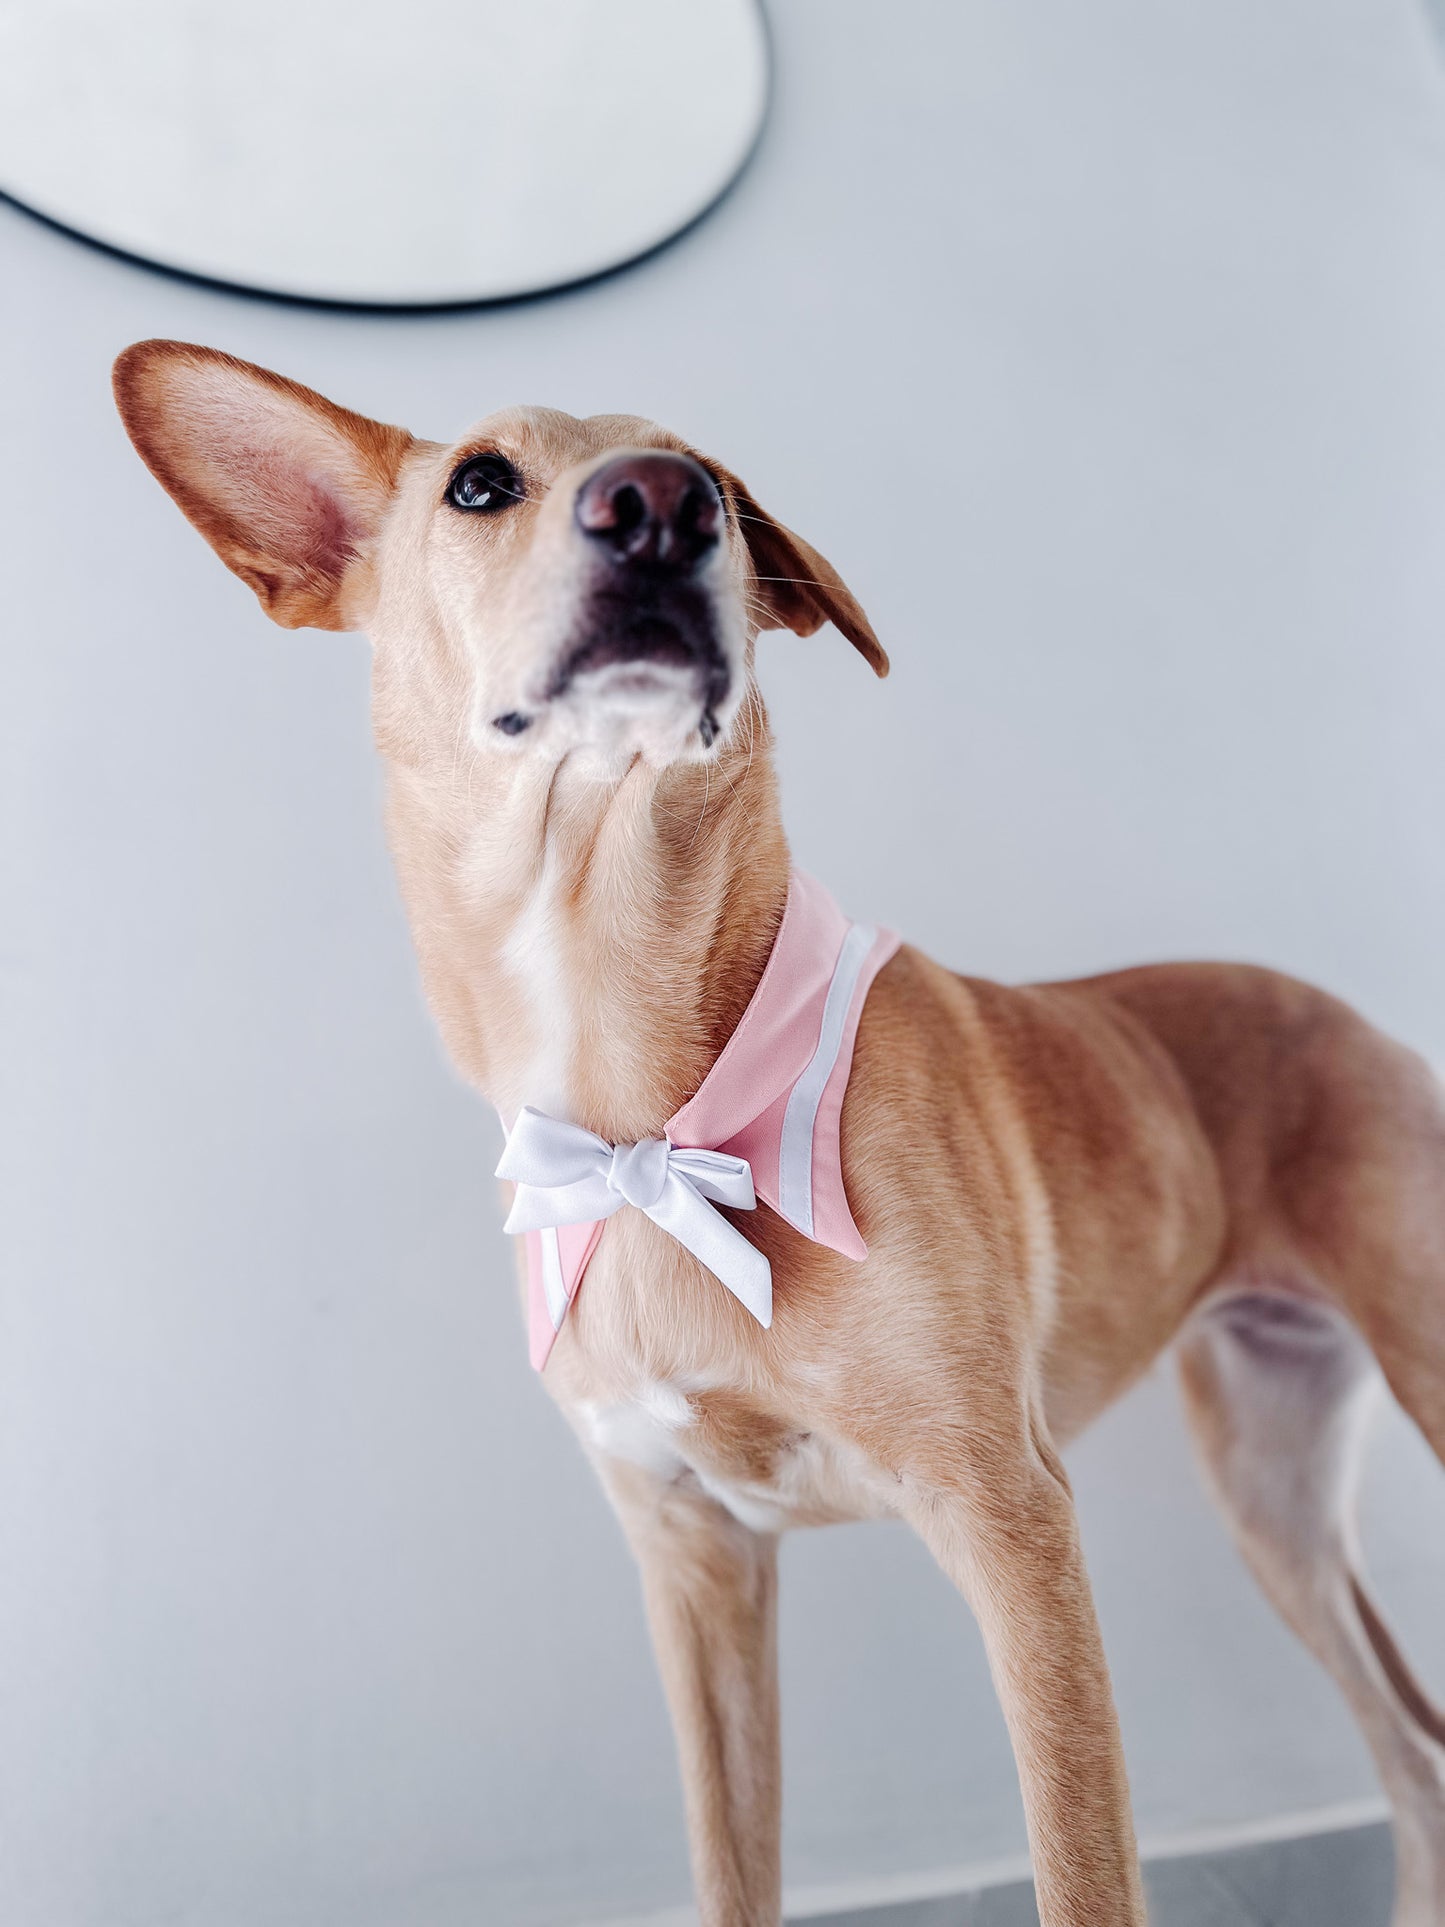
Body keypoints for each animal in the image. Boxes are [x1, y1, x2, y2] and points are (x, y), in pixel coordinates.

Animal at [116, 346, 1445, 1927]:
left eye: (720, 488)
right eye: (481, 484)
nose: (660, 505)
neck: (642, 1114)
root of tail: (1341, 1011)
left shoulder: (1013, 1524)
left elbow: (1080, 1867)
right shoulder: (693, 1565)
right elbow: (728, 1863)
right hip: (1270, 1483)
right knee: (1412, 1750)